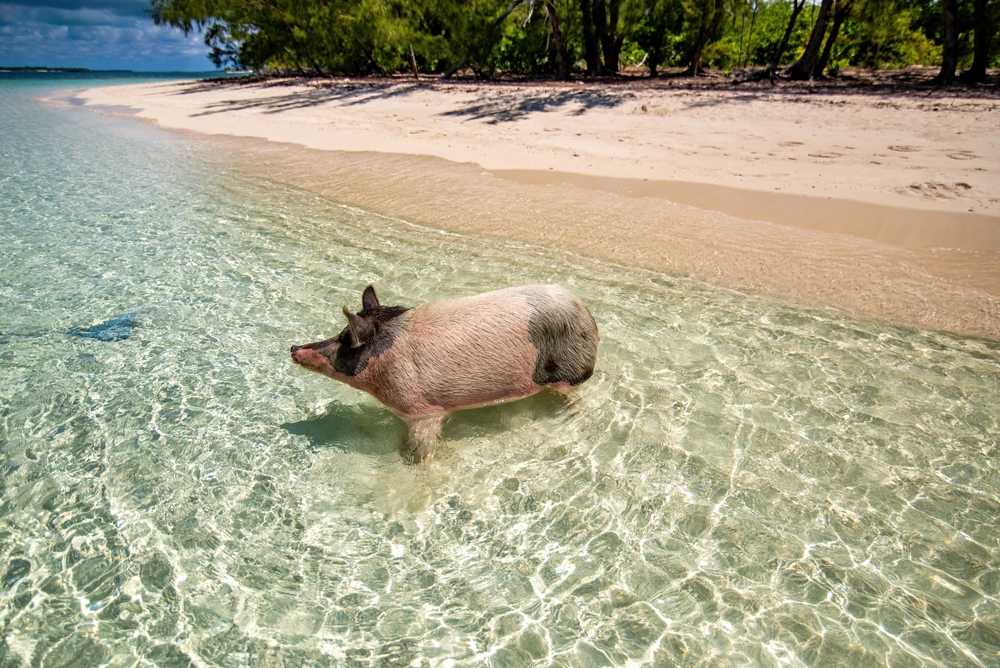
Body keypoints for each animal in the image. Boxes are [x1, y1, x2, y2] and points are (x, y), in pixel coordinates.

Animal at [292, 284, 600, 468]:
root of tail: (588, 316)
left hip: (568, 374)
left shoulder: (422, 411)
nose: (294, 348)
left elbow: (424, 448)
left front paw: (417, 469)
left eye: (345, 340)